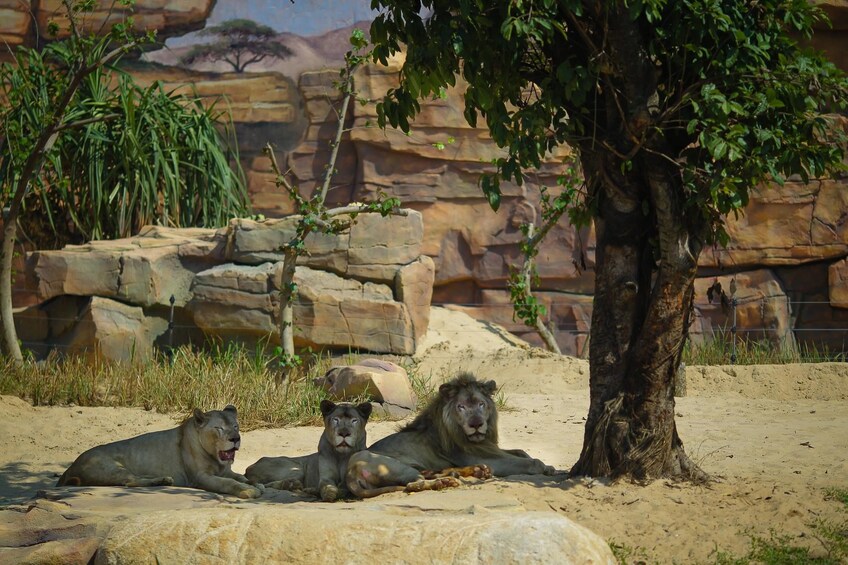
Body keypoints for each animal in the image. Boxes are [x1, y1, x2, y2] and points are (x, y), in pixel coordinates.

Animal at [56, 406, 262, 498]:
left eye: (235, 426)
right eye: (219, 428)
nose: (235, 439)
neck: (216, 458)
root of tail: (69, 468)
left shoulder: (226, 470)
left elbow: (240, 476)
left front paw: (254, 483)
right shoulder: (200, 477)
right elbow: (227, 483)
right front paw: (249, 490)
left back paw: (164, 480)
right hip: (112, 467)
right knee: (130, 482)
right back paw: (162, 480)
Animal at [346, 370, 556, 498]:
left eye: (481, 404)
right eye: (461, 407)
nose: (476, 424)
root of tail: (350, 473)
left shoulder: (489, 448)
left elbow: (521, 451)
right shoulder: (478, 455)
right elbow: (529, 461)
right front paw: (546, 467)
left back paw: (473, 471)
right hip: (394, 465)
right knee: (414, 484)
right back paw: (448, 480)